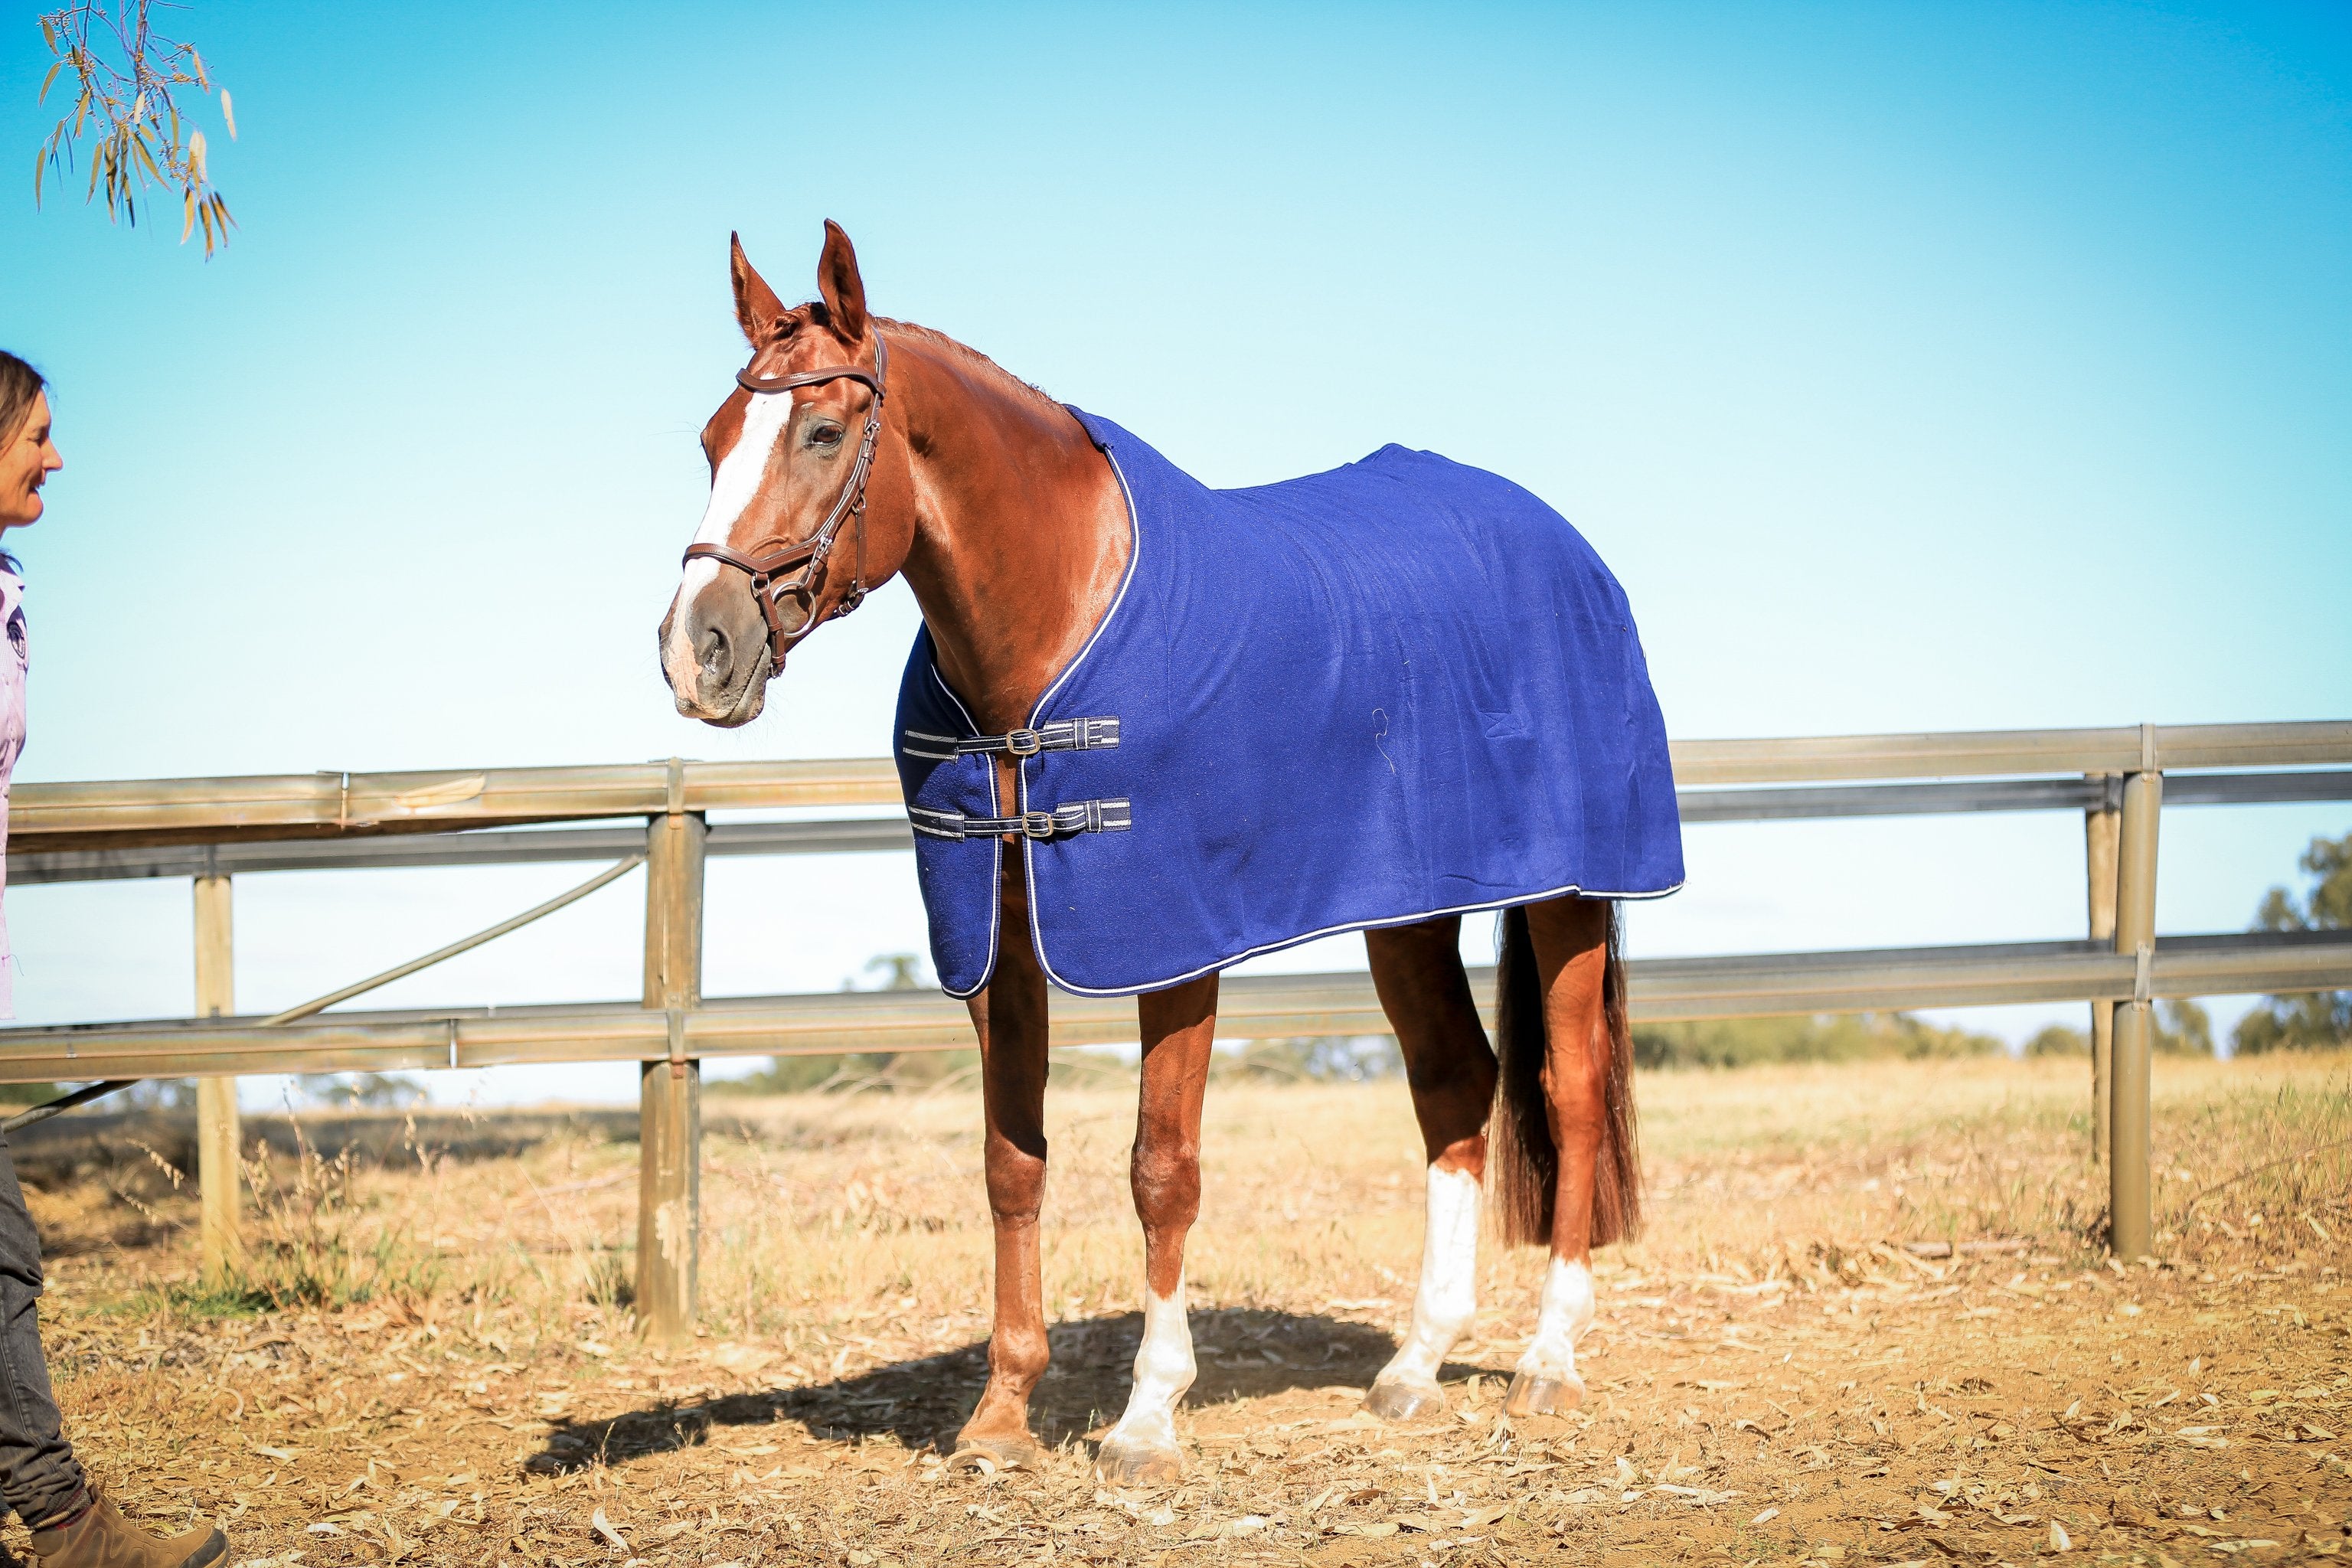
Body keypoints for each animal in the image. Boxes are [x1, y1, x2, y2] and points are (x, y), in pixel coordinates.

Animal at [658, 222, 1668, 1484]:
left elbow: (1160, 1167)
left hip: (1570, 892)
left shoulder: (1173, 945)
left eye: (824, 431)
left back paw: (1547, 1359)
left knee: (1571, 1092)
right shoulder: (1001, 941)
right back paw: (1415, 1365)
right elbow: (1012, 1161)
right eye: (710, 440)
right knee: (1454, 1083)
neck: (1051, 626)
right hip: (1410, 910)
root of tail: (1570, 549)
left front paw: (1147, 1413)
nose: (697, 650)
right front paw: (1000, 1413)